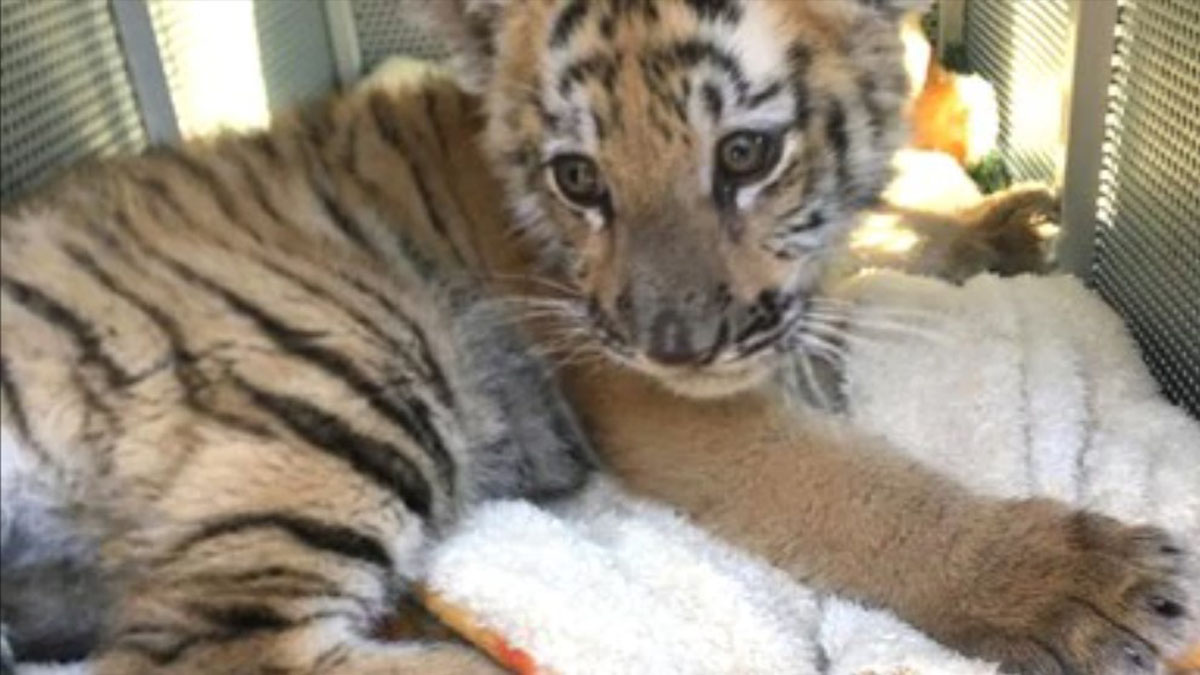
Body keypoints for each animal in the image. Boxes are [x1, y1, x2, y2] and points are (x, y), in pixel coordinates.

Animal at [0, 1, 1192, 675]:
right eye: (579, 179)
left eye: (748, 152)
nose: (676, 337)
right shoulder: (673, 400)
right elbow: (851, 491)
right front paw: (1074, 583)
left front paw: (1006, 223)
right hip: (343, 365)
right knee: (205, 654)